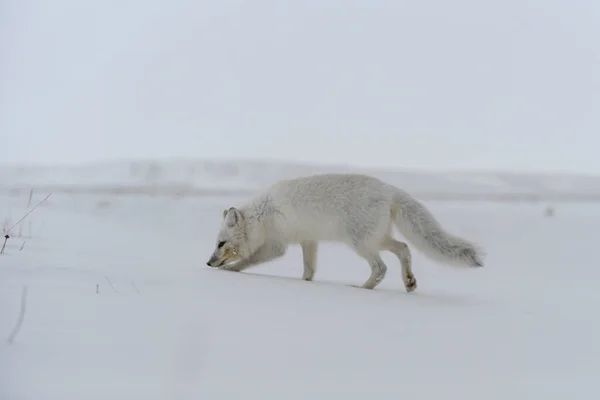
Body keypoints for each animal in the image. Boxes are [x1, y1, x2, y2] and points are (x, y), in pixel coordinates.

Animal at [205, 173, 482, 292]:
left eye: (221, 243)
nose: (208, 263)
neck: (261, 217)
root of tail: (389, 189)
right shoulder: (309, 240)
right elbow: (309, 269)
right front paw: (305, 283)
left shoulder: (276, 245)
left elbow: (249, 260)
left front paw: (230, 270)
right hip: (378, 239)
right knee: (404, 249)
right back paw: (409, 282)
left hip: (361, 243)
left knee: (381, 267)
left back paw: (362, 288)